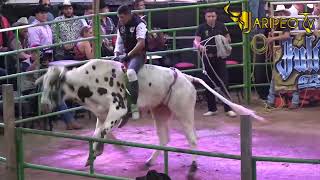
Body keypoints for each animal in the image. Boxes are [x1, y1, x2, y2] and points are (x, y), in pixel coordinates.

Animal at [35, 59, 264, 174]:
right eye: (42, 84)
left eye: (53, 84)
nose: (44, 105)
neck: (89, 80)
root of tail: (186, 76)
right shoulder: (101, 115)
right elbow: (97, 134)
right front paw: (92, 155)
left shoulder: (118, 109)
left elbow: (103, 133)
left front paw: (97, 152)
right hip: (160, 112)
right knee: (164, 139)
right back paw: (149, 162)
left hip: (183, 112)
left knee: (192, 138)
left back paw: (193, 165)